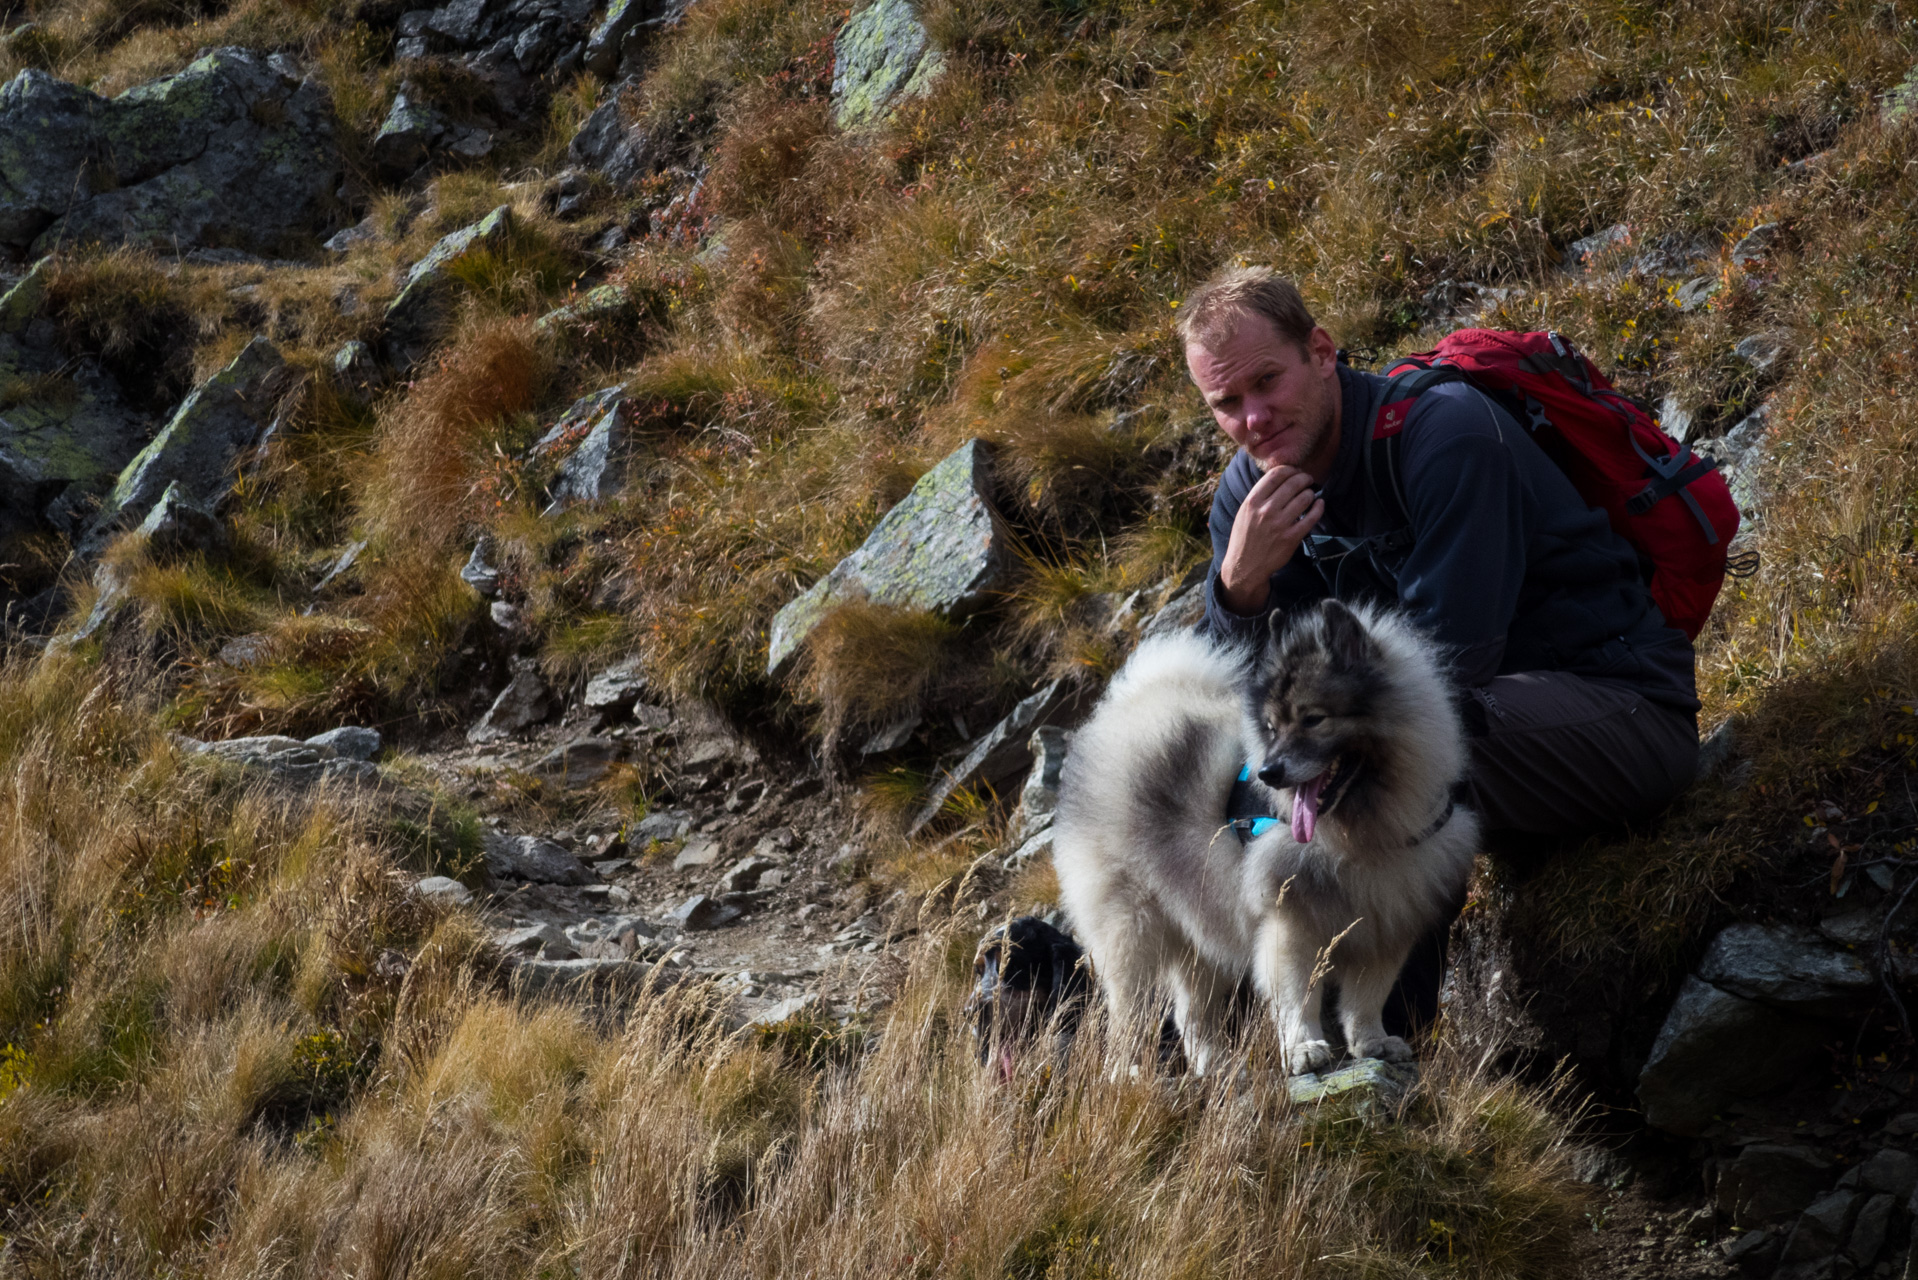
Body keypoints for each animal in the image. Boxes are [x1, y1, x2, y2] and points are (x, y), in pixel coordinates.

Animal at [1051, 602, 1480, 1082]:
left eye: (1314, 719)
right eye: (1272, 727)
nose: (1268, 773)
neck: (1362, 835)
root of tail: (1121, 714)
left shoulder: (1384, 925)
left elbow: (1367, 998)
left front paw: (1371, 1043)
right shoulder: (1290, 924)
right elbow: (1298, 995)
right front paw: (1303, 1049)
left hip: (1199, 931)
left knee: (1191, 1014)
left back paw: (1216, 1066)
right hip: (1133, 934)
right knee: (1129, 1017)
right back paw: (1128, 1073)